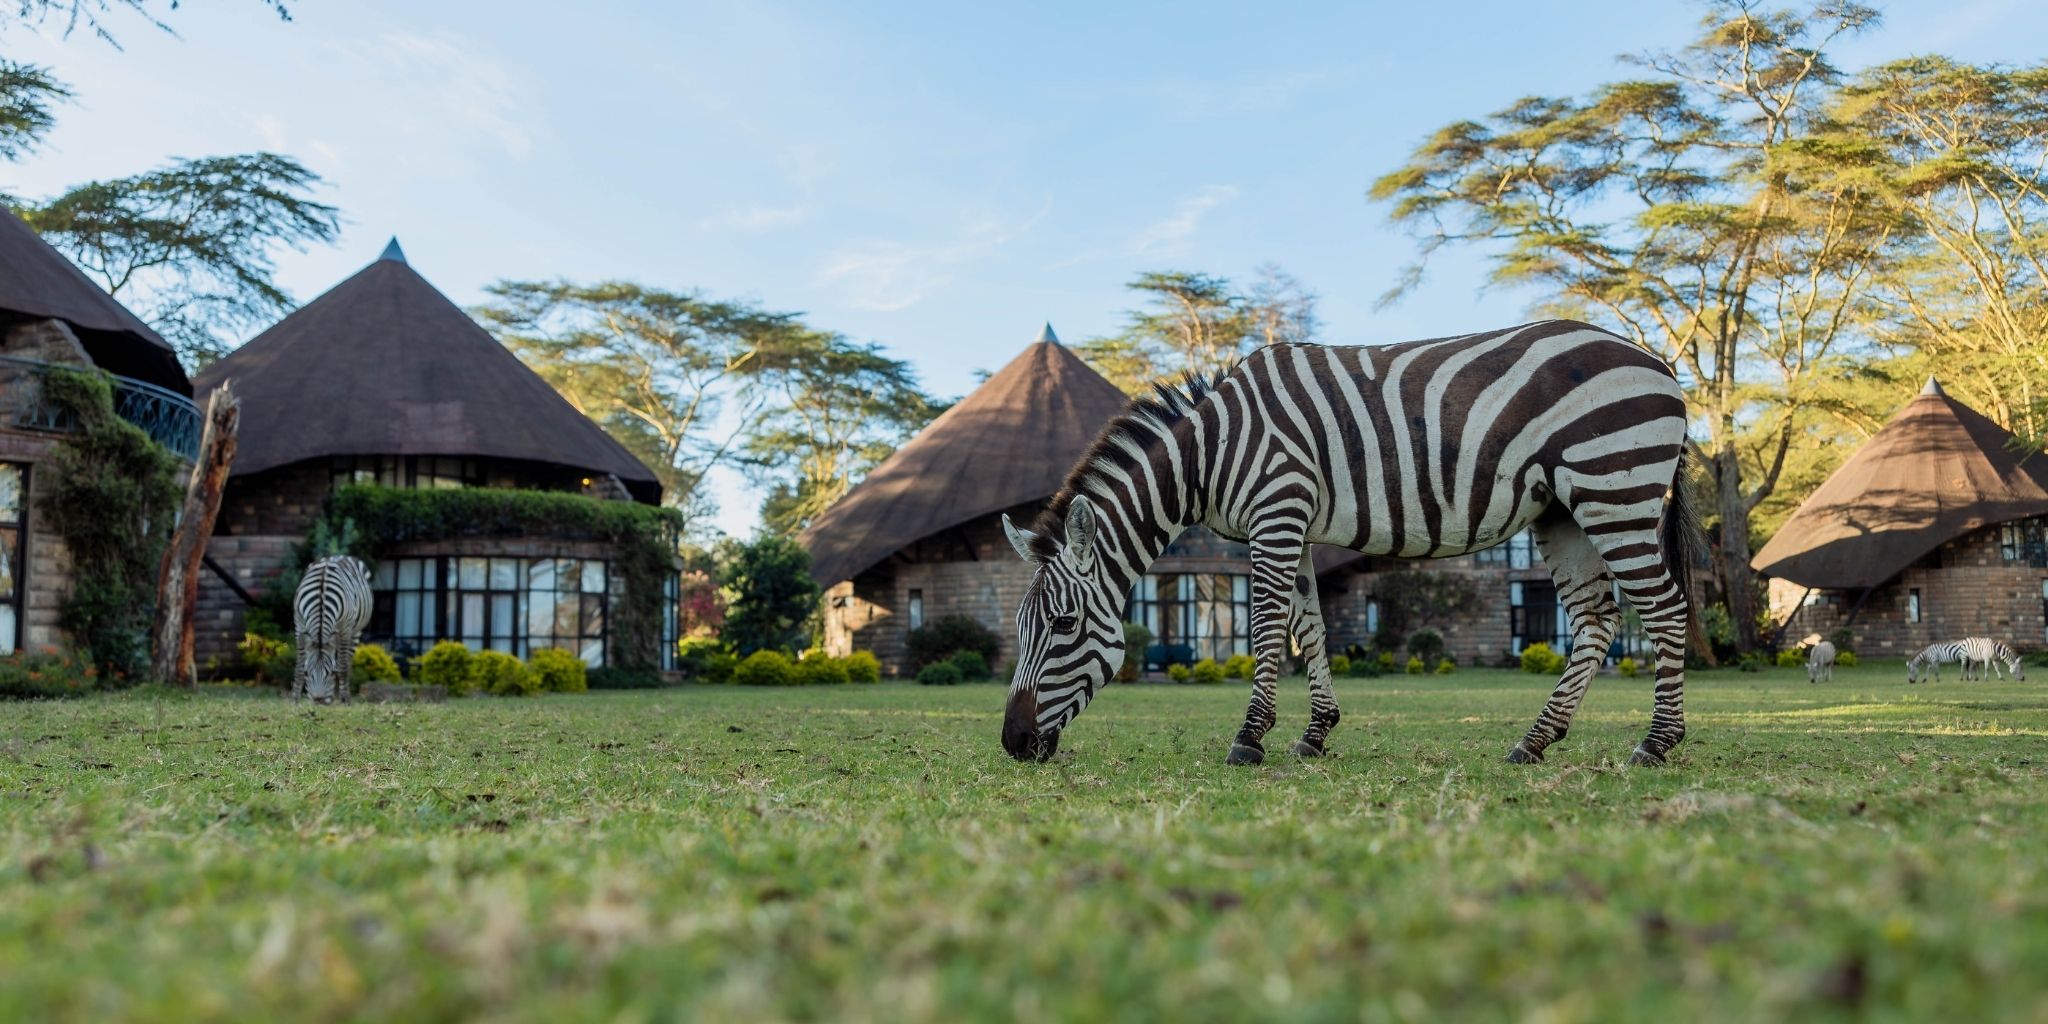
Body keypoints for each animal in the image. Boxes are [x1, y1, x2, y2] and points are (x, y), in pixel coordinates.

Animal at [293, 555, 372, 703]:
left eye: (331, 673)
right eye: (307, 672)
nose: (318, 700)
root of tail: (340, 556)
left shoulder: (345, 629)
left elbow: (342, 666)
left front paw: (345, 699)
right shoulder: (299, 626)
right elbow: (299, 663)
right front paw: (294, 698)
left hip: (355, 632)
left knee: (346, 661)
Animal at [999, 320, 1699, 767]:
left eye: (1063, 625)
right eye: (1020, 628)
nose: (1012, 743)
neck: (1210, 454)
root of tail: (1659, 363)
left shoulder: (1276, 512)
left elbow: (1265, 627)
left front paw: (1248, 740)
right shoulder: (1295, 524)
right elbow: (1309, 627)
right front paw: (1315, 734)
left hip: (1613, 490)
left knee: (1664, 609)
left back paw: (1657, 743)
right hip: (1563, 510)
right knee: (1596, 619)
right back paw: (1535, 741)